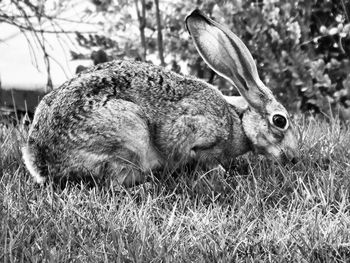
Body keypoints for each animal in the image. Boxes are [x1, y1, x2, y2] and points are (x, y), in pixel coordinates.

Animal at [22, 9, 298, 188]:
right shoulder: (196, 133)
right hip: (130, 134)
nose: (293, 158)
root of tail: (41, 159)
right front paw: (220, 173)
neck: (237, 122)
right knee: (115, 181)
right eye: (280, 121)